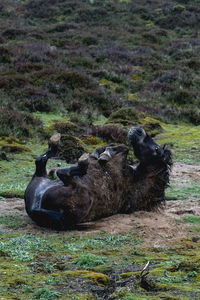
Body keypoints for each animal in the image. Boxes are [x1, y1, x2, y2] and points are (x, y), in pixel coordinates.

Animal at [24, 126, 172, 230]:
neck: (135, 182)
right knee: (41, 161)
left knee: (63, 173)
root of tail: (34, 208)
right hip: (39, 179)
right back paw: (55, 143)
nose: (139, 130)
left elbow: (124, 148)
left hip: (83, 195)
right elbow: (120, 147)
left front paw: (104, 155)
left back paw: (81, 163)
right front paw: (101, 152)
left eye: (157, 149)